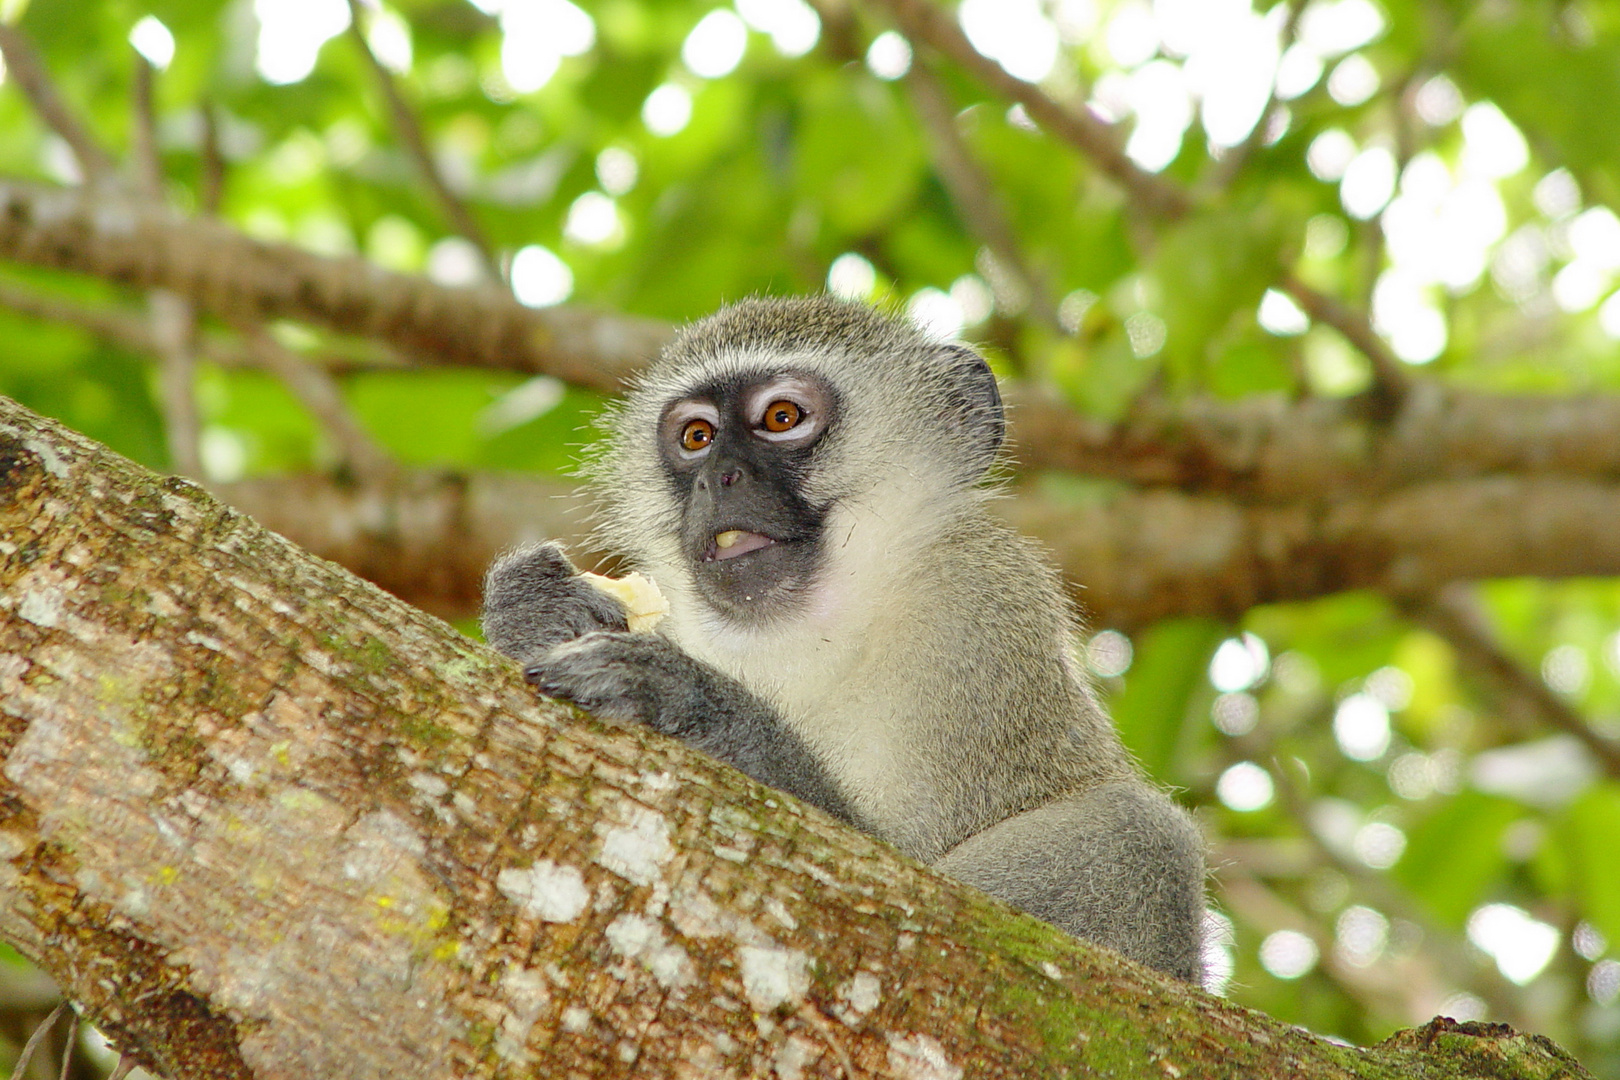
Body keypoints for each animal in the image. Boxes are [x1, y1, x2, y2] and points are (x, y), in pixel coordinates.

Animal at [486, 296, 1211, 977]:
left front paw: (693, 705)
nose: (718, 478)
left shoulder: (979, 612)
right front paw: (531, 605)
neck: (814, 629)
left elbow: (890, 872)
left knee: (1140, 838)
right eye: (696, 436)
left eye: (782, 418)